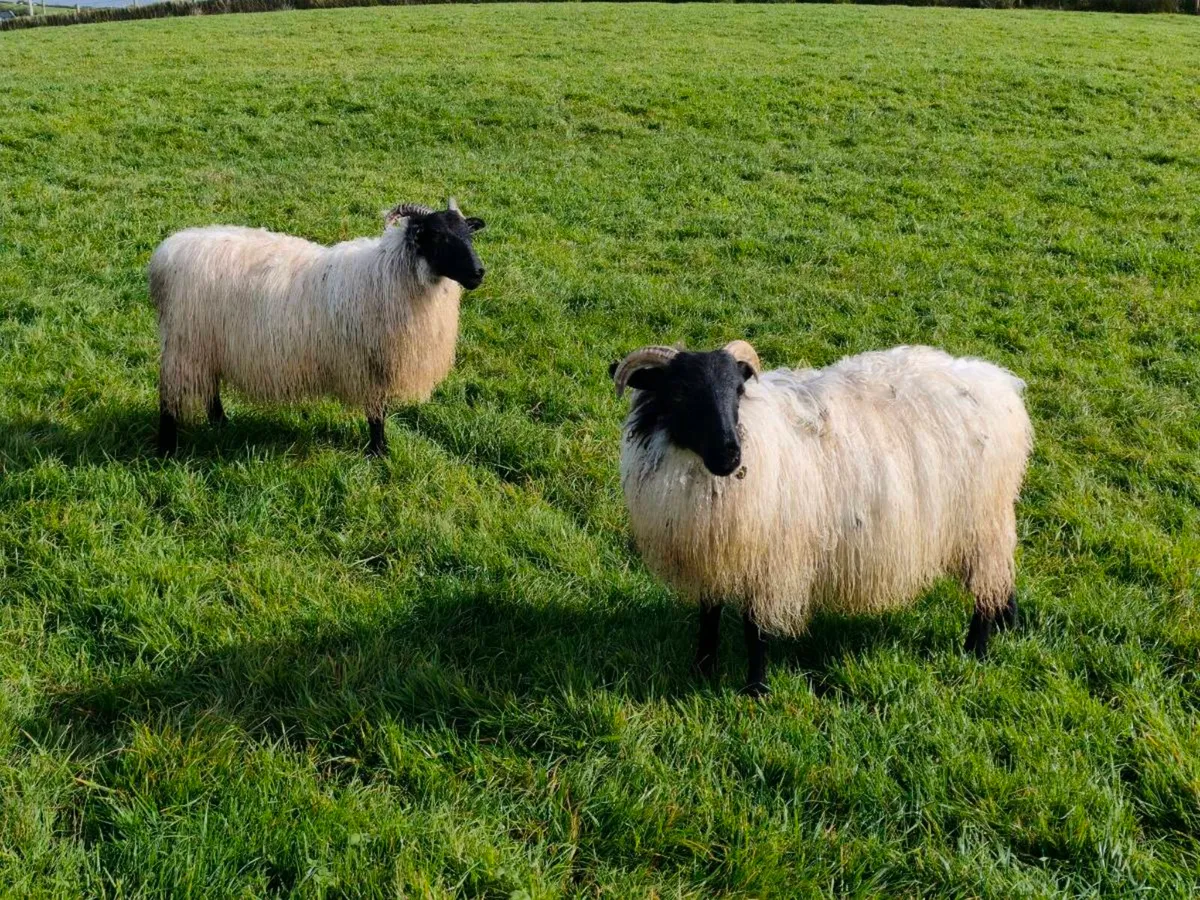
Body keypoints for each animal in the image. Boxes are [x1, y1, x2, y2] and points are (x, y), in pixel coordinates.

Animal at [150, 197, 486, 457]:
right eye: (438, 237)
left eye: (469, 234)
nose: (479, 272)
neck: (390, 273)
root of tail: (166, 253)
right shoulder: (367, 364)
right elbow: (376, 413)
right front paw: (379, 452)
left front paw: (380, 449)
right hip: (184, 343)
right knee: (170, 398)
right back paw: (167, 450)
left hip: (207, 343)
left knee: (210, 386)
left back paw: (220, 423)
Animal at [610, 341, 1033, 696]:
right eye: (680, 393)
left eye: (738, 391)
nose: (731, 456)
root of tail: (998, 383)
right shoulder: (715, 553)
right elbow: (708, 618)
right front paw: (701, 670)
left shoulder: (770, 557)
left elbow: (754, 628)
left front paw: (755, 689)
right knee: (1001, 579)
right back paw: (1006, 623)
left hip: (980, 521)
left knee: (985, 590)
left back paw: (976, 650)